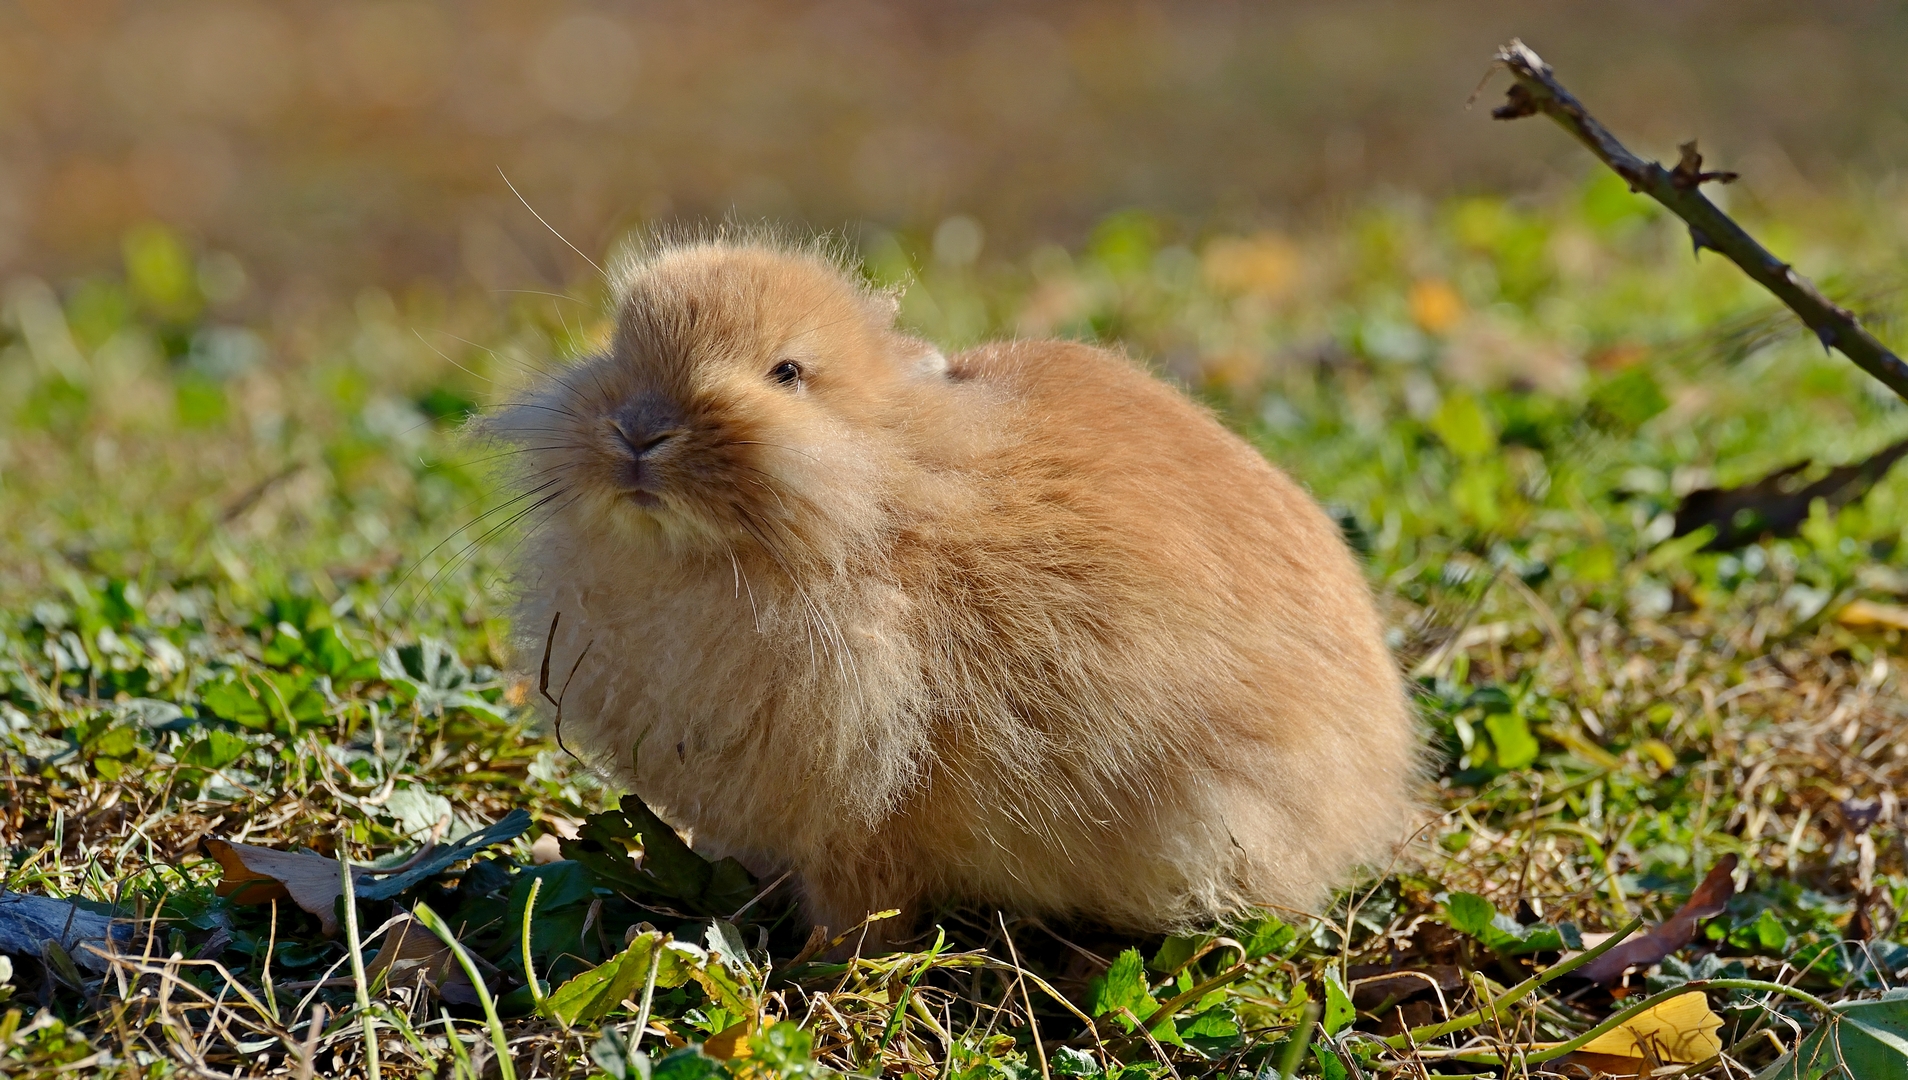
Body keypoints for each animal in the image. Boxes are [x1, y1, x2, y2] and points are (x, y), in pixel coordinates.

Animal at [488, 237, 1421, 938]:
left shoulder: (867, 822)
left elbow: (863, 911)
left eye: (787, 372)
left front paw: (822, 971)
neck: (882, 499)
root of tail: (1374, 788)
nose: (640, 430)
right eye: (617, 348)